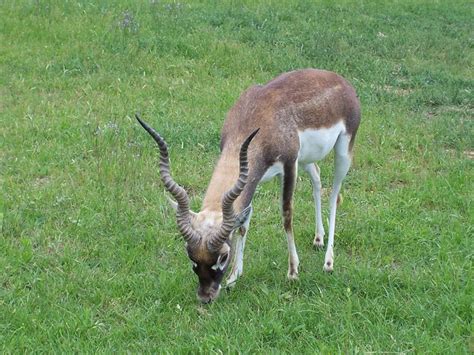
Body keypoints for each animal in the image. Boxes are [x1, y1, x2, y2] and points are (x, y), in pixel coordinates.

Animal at [135, 69, 362, 304]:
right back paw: (318, 239)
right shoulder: (250, 179)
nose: (206, 296)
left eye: (223, 255)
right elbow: (244, 223)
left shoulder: (289, 165)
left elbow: (286, 215)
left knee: (334, 195)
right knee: (316, 177)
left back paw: (328, 262)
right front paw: (234, 277)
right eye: (190, 254)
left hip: (342, 152)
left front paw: (292, 272)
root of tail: (339, 80)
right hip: (307, 160)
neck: (256, 118)